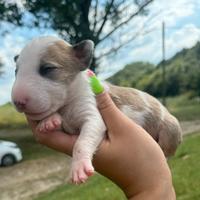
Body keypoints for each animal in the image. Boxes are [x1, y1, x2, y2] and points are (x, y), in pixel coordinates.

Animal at [11, 35, 182, 184]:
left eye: (47, 68)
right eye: (16, 72)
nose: (17, 101)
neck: (68, 104)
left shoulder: (92, 114)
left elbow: (82, 142)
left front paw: (79, 168)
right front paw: (50, 121)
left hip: (170, 128)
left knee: (167, 150)